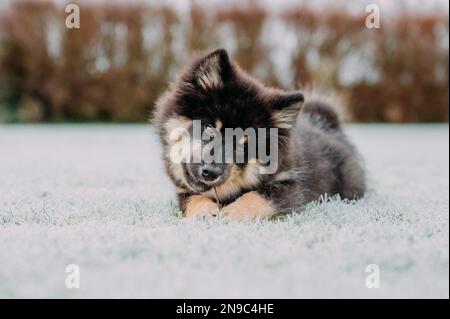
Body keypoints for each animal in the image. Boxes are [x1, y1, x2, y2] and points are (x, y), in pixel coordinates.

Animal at [155, 49, 366, 220]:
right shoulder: (183, 190)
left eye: (243, 145)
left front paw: (233, 211)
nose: (211, 172)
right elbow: (191, 197)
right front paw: (203, 210)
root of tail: (328, 125)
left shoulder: (291, 187)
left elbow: (258, 196)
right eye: (209, 127)